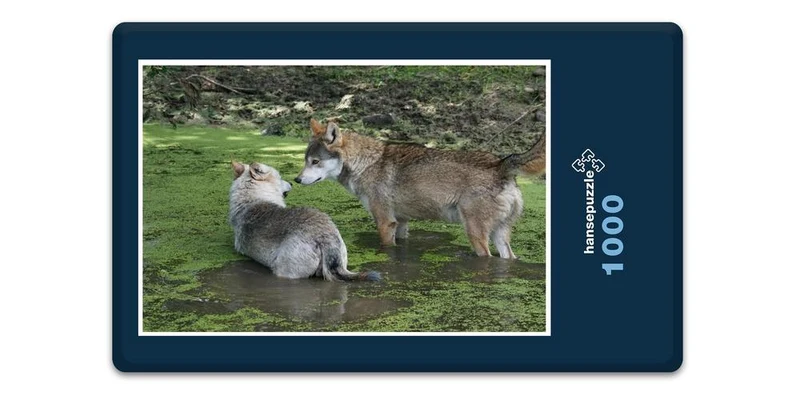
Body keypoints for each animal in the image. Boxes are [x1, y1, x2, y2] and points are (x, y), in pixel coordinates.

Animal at [294, 119, 546, 259]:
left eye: (315, 162)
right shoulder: (401, 222)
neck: (366, 163)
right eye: (306, 160)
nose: (296, 180)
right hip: (500, 237)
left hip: (476, 234)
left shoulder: (385, 222)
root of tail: (501, 163)